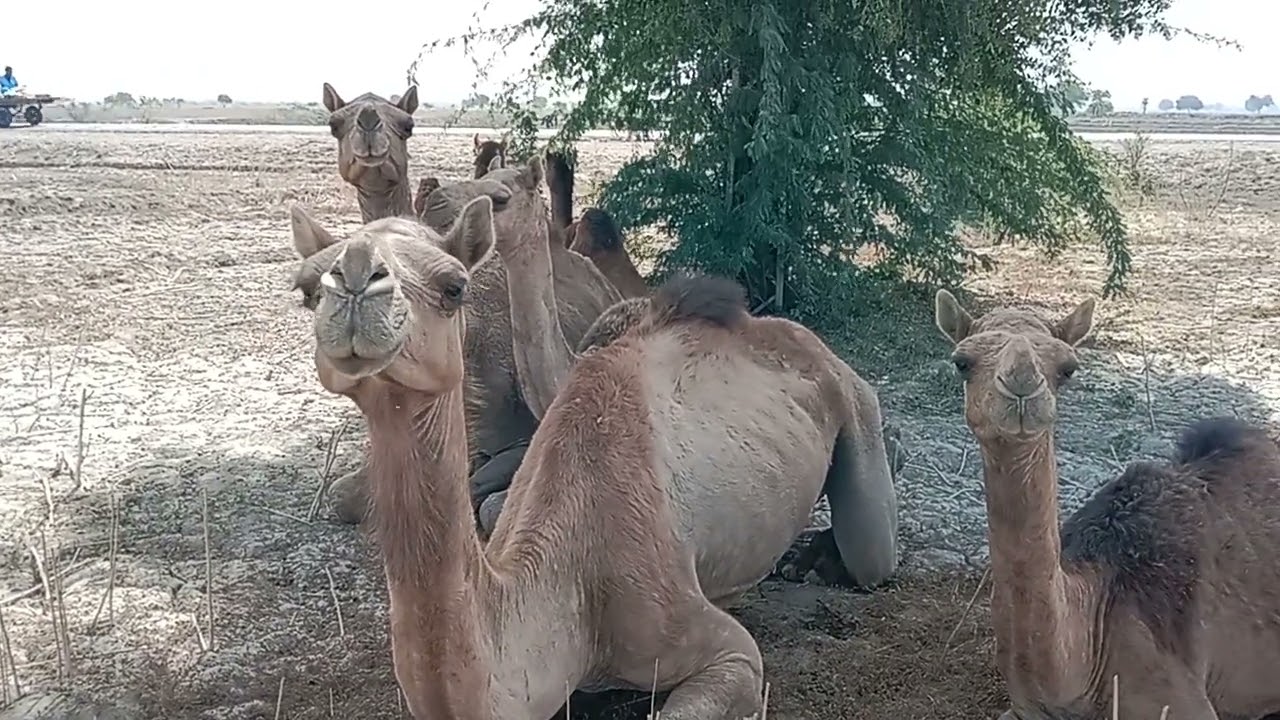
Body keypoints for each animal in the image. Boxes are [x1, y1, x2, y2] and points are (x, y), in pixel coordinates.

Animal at [305, 186, 898, 717]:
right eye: (308, 286)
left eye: (455, 287)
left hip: (855, 402)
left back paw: (815, 556)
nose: (355, 279)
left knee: (872, 554)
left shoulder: (714, 641)